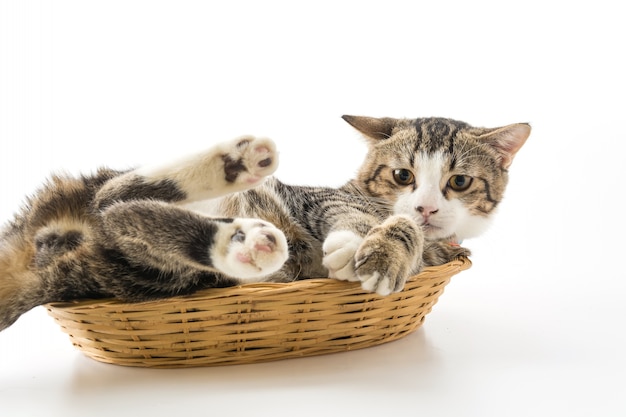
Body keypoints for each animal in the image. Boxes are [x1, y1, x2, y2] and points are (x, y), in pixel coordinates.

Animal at [0, 115, 528, 330]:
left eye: (459, 182)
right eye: (403, 175)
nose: (425, 208)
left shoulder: (436, 254)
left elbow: (417, 246)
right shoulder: (320, 197)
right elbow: (355, 218)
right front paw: (364, 247)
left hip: (141, 273)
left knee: (121, 215)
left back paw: (240, 235)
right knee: (113, 200)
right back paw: (235, 174)